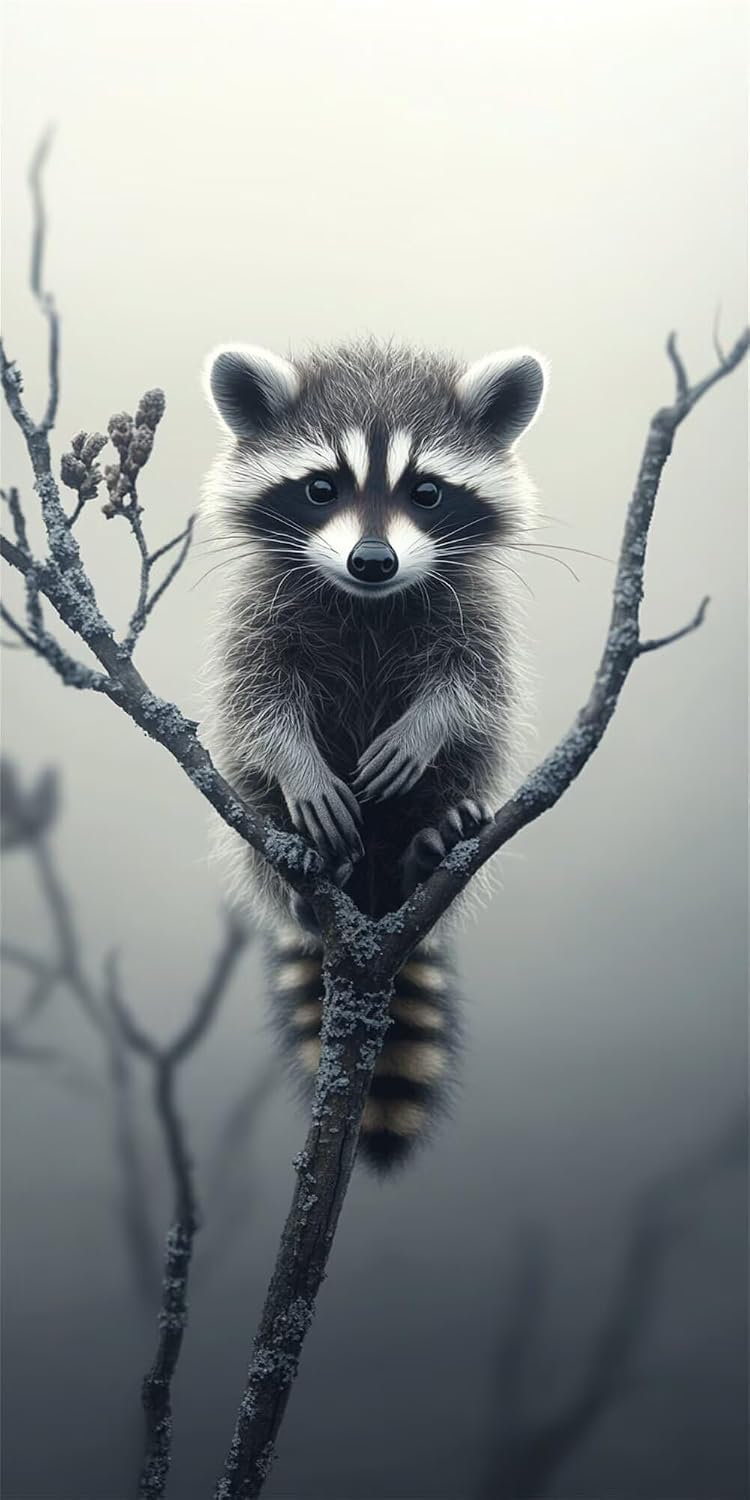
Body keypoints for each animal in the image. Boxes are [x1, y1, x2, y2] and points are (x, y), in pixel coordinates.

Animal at [200, 337, 547, 1168]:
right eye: (321, 488)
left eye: (427, 492)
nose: (373, 561)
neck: (368, 602)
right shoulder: (262, 611)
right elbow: (258, 704)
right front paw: (298, 770)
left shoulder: (469, 604)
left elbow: (473, 687)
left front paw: (425, 730)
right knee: (254, 801)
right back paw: (300, 880)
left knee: (467, 765)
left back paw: (432, 840)